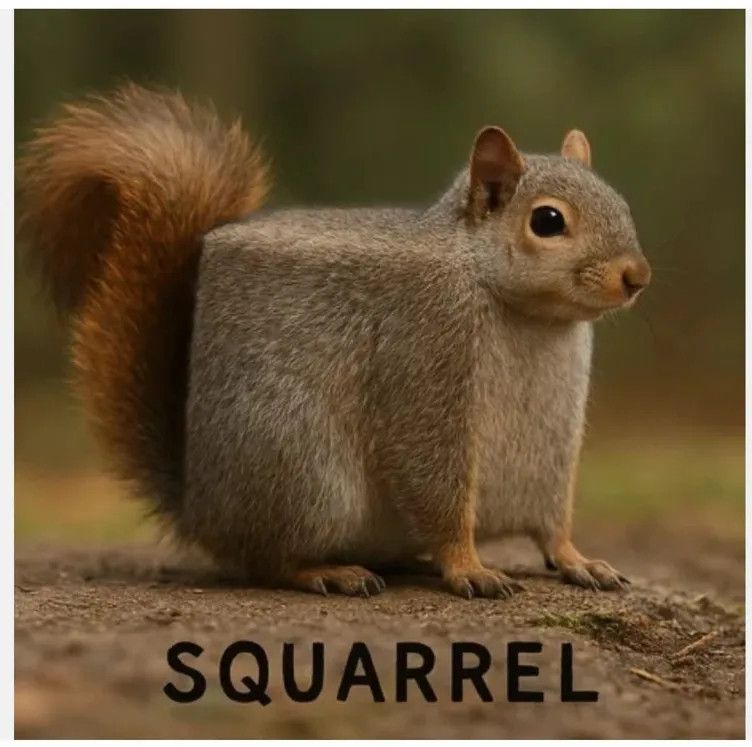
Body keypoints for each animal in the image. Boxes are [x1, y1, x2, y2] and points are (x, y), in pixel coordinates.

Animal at [18, 84, 651, 599]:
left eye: (622, 204)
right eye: (547, 221)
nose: (637, 276)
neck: (525, 315)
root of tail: (199, 508)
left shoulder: (552, 440)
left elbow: (553, 519)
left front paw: (577, 559)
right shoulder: (424, 349)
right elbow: (434, 481)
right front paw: (468, 567)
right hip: (301, 469)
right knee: (263, 560)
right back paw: (326, 571)